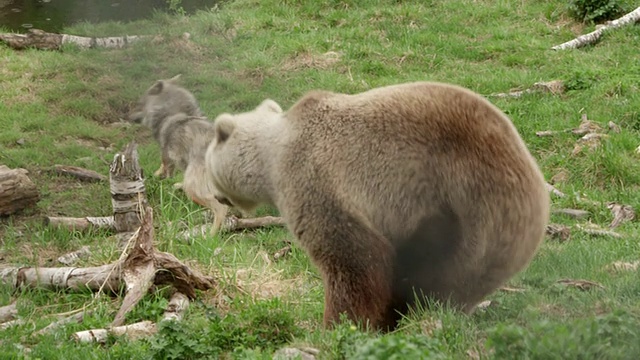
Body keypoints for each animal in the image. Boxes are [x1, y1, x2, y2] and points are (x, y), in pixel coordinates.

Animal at [204, 81, 552, 332]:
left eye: (208, 167)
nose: (218, 198)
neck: (272, 158)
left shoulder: (318, 183)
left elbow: (353, 261)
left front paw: (338, 326)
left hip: (469, 209)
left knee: (437, 274)